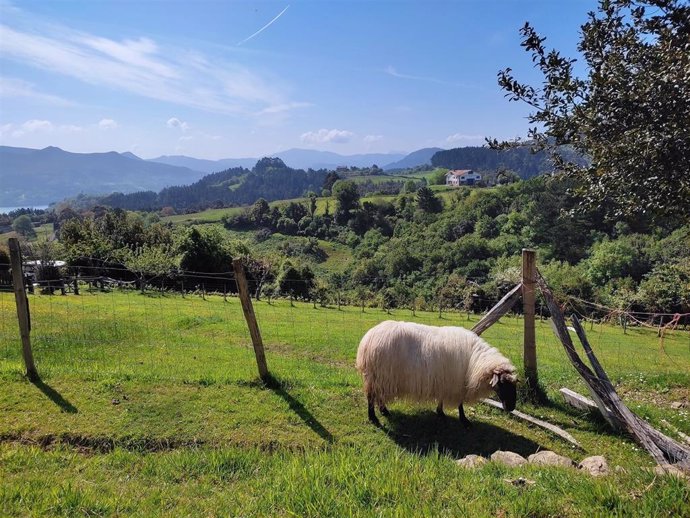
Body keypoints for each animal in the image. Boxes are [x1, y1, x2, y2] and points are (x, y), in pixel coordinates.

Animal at [358, 322, 512, 428]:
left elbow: (443, 399)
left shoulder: (446, 381)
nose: (510, 407)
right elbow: (460, 404)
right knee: (371, 397)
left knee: (379, 396)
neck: (474, 359)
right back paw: (373, 418)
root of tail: (368, 338)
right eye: (502, 383)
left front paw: (440, 412)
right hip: (379, 376)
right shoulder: (456, 382)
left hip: (381, 378)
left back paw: (384, 411)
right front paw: (464, 420)